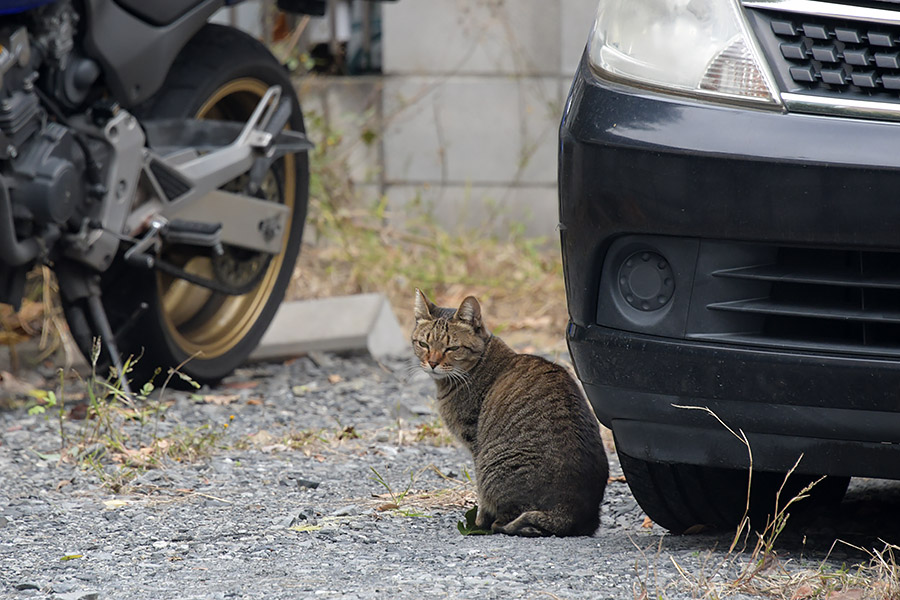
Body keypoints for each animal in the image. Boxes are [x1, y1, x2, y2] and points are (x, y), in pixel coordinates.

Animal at [412, 288, 608, 536]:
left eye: (452, 348)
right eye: (423, 344)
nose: (432, 363)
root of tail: (567, 512)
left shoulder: (475, 444)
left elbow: (482, 500)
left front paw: (478, 521)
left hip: (491, 465)